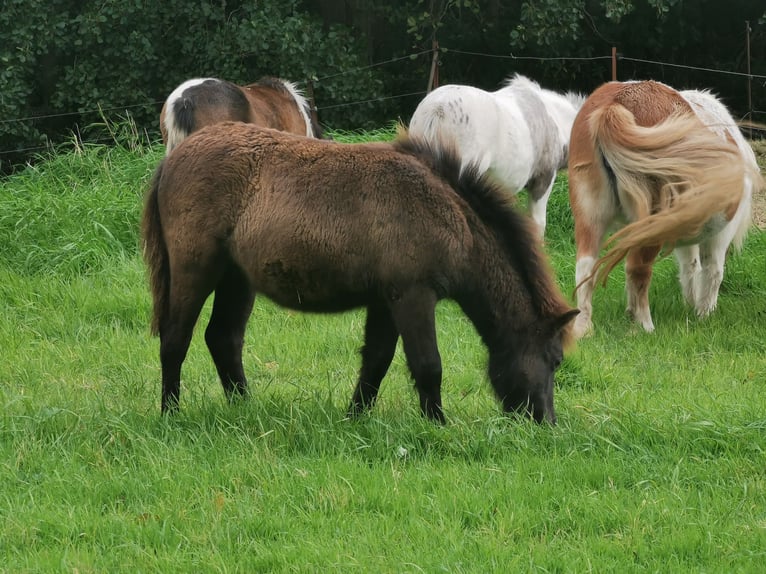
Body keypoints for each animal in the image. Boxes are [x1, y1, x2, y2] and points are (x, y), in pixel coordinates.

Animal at [141, 122, 579, 423]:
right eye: (555, 360)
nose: (546, 423)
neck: (450, 216)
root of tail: (171, 160)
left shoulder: (385, 301)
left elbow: (376, 362)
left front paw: (355, 419)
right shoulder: (413, 296)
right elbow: (428, 365)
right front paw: (438, 425)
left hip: (237, 279)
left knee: (223, 339)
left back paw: (244, 408)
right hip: (196, 270)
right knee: (176, 338)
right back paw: (171, 414)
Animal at [567, 80, 762, 338]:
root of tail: (616, 102)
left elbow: (690, 267)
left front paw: (691, 306)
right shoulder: (720, 235)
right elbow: (713, 269)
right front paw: (704, 314)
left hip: (591, 218)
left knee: (585, 269)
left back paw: (584, 327)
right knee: (636, 268)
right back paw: (645, 326)